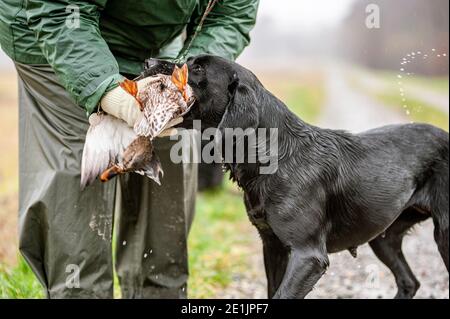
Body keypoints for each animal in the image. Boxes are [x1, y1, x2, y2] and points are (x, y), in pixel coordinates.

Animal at [146, 55, 448, 300]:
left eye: (197, 68)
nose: (148, 62)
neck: (275, 156)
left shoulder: (308, 256)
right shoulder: (273, 247)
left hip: (443, 234)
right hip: (383, 237)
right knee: (409, 282)